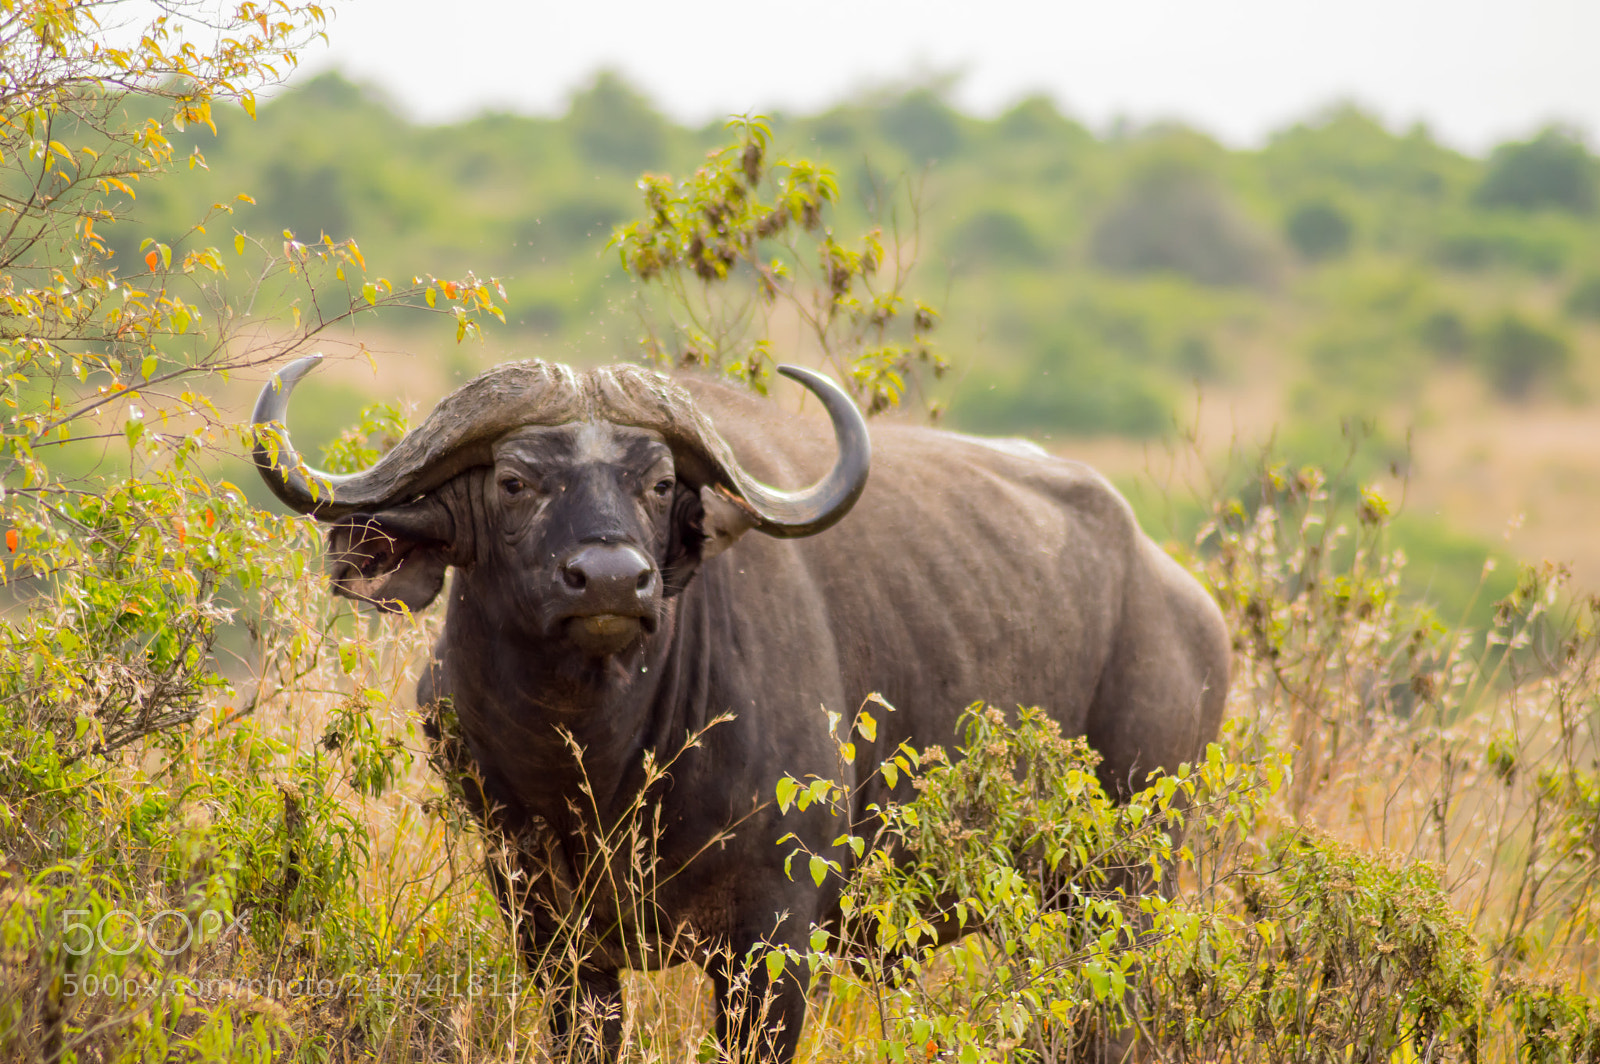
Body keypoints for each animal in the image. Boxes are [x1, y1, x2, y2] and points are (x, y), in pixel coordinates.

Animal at [252, 355, 1229, 1062]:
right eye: (514, 482)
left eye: (656, 484)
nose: (614, 579)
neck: (602, 767)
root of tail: (1188, 606)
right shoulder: (548, 931)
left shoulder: (773, 941)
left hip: (1127, 883)